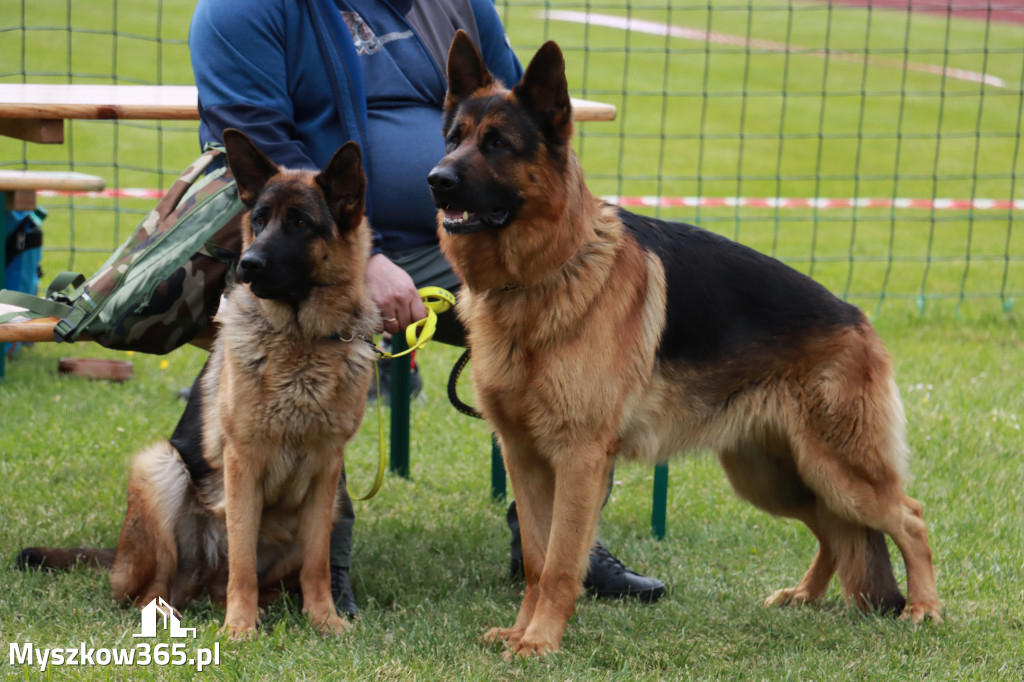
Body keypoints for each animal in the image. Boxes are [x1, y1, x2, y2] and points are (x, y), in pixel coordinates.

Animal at [18, 127, 380, 638]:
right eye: (259, 220)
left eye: (300, 223)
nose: (247, 264)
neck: (301, 340)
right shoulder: (242, 465)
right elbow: (243, 562)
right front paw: (239, 631)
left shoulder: (326, 472)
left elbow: (317, 564)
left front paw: (325, 621)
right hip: (159, 469)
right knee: (156, 590)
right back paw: (171, 617)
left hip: (331, 507)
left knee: (230, 583)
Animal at [428, 31, 937, 655]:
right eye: (454, 139)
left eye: (498, 143)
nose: (436, 180)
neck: (545, 274)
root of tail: (858, 320)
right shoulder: (523, 456)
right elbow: (534, 557)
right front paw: (521, 631)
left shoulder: (578, 457)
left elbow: (561, 562)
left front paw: (542, 640)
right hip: (774, 477)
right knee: (834, 531)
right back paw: (805, 595)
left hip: (839, 468)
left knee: (909, 517)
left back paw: (924, 607)